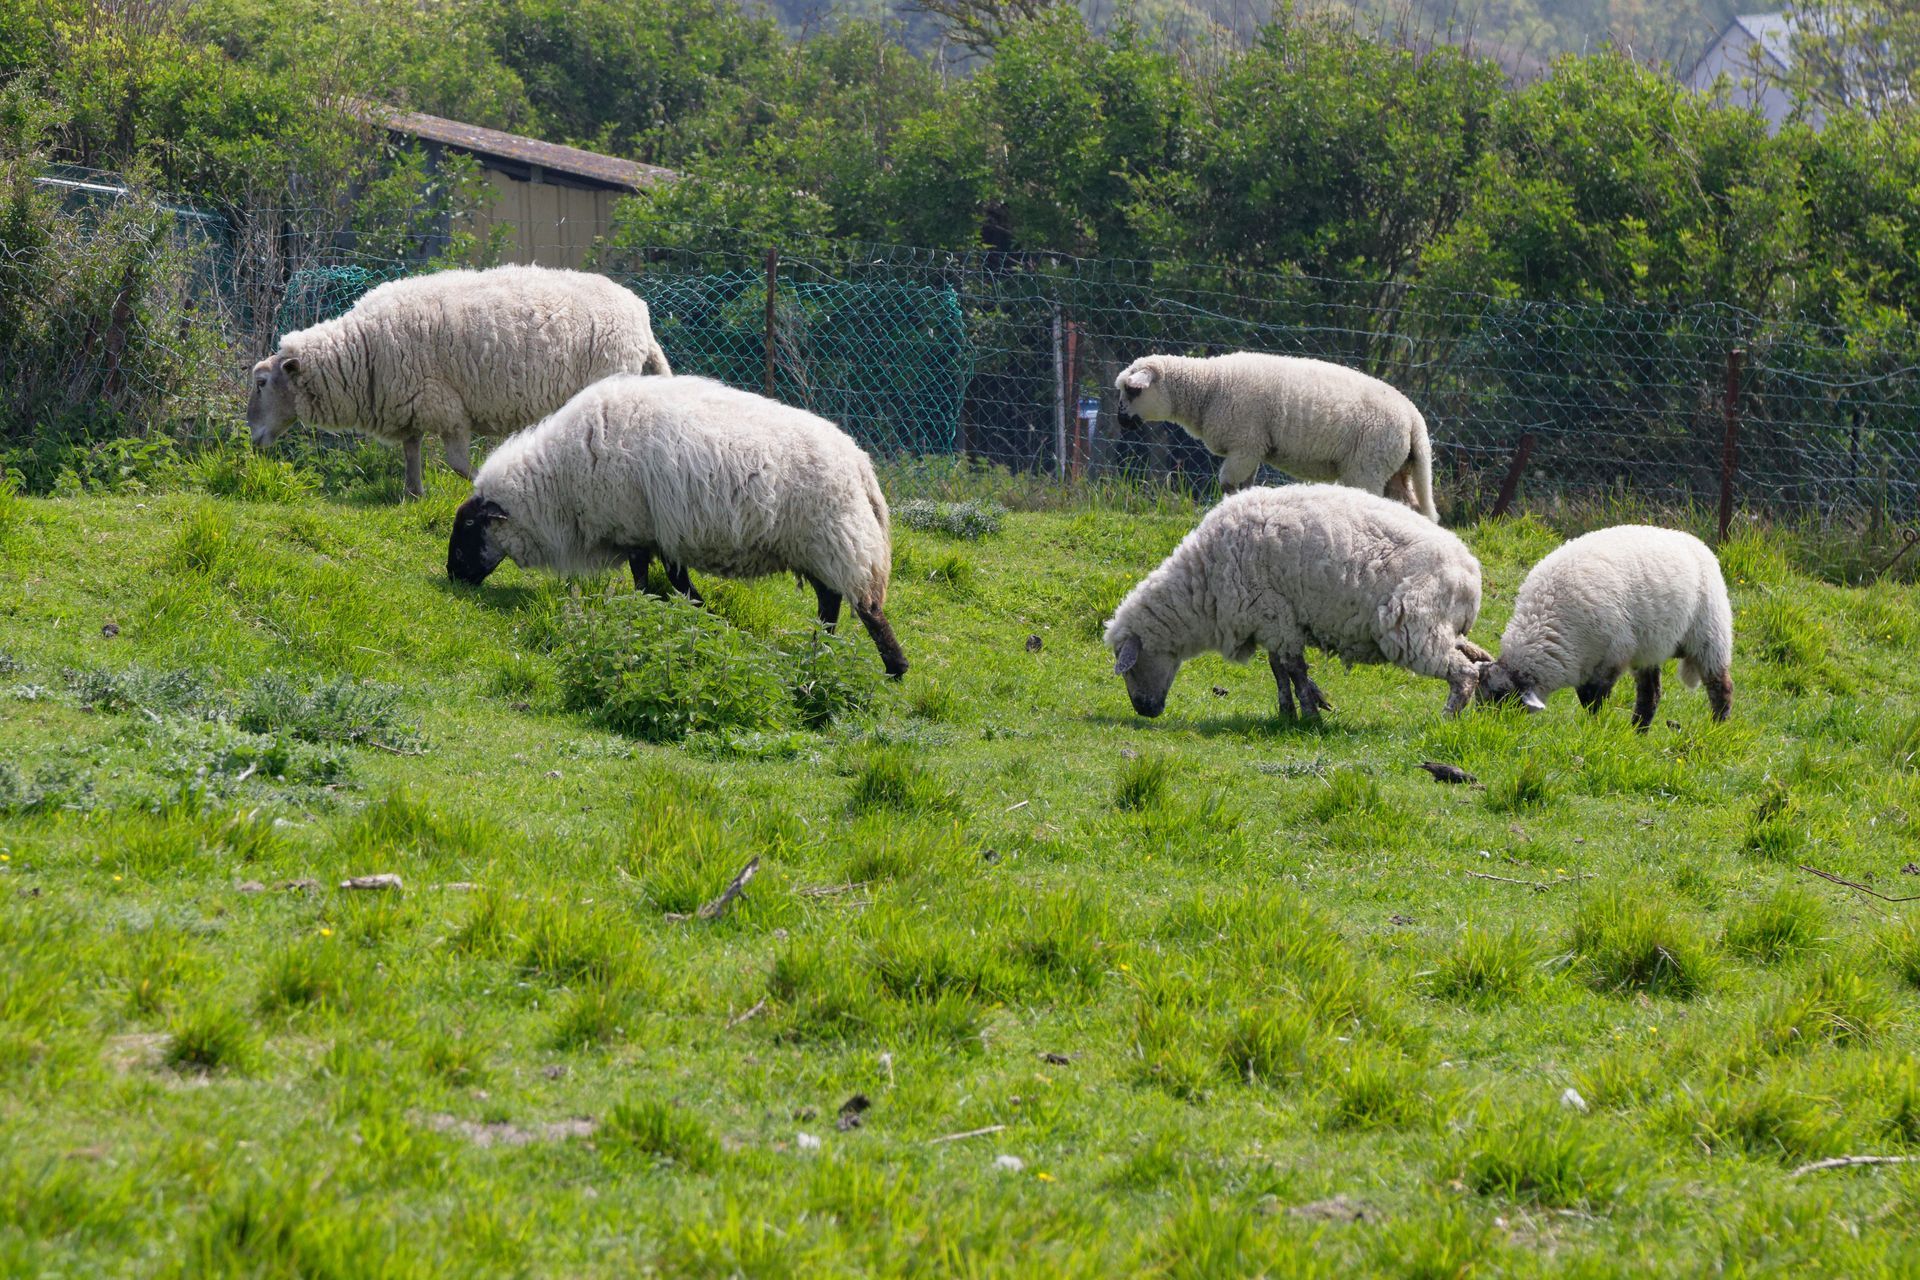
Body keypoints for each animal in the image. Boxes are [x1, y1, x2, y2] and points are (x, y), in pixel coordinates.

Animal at [248, 264, 672, 499]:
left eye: (262, 383)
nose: (252, 437)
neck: (362, 349)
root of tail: (641, 316)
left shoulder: (446, 406)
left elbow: (456, 462)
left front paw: (481, 484)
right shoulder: (411, 403)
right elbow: (412, 449)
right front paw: (413, 493)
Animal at [446, 374, 908, 677]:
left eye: (469, 528)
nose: (452, 576)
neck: (558, 481)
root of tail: (860, 464)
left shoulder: (634, 526)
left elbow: (646, 580)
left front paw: (654, 612)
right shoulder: (660, 532)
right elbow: (677, 581)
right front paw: (705, 617)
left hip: (835, 538)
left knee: (866, 606)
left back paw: (893, 666)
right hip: (815, 547)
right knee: (830, 599)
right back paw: (820, 649)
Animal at [1103, 484, 1492, 721]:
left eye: (1131, 666)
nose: (1145, 710)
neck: (1202, 586)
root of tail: (1471, 575)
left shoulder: (1274, 616)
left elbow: (1293, 668)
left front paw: (1309, 714)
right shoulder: (1275, 622)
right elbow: (1279, 669)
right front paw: (1290, 710)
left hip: (1412, 626)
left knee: (1463, 673)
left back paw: (1447, 719)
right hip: (1441, 628)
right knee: (1476, 657)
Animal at [1114, 352, 1439, 520]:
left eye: (1132, 390)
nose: (1121, 421)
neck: (1208, 388)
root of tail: (1414, 419)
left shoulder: (1245, 444)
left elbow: (1228, 484)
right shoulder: (1252, 449)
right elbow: (1244, 486)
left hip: (1367, 463)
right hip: (1395, 467)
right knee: (1409, 505)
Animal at [1472, 525, 1733, 730]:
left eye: (1504, 701)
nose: (1488, 726)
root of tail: (1695, 541)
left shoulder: (1611, 657)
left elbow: (1594, 701)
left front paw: (1595, 729)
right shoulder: (1583, 662)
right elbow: (1586, 696)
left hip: (1710, 632)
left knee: (1721, 687)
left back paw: (1716, 729)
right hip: (1648, 647)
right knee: (1651, 693)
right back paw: (1637, 732)